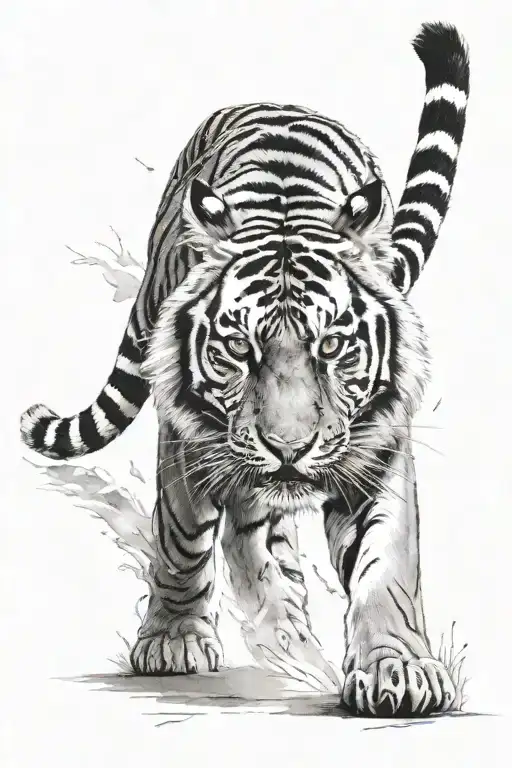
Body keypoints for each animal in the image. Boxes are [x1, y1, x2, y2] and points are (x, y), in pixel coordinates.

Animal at [20, 21, 469, 716]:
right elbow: (181, 537)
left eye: (332, 345)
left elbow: (387, 563)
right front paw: (174, 640)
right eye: (237, 347)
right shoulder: (187, 437)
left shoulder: (379, 446)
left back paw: (285, 619)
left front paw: (399, 671)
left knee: (263, 526)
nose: (288, 447)